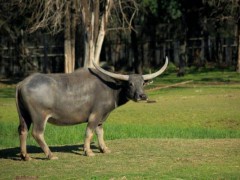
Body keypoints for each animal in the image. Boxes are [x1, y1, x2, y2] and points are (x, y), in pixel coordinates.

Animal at [15, 57, 168, 160]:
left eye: (142, 83)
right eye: (130, 83)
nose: (142, 96)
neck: (111, 88)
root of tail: (22, 83)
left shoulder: (102, 117)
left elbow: (100, 132)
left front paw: (104, 149)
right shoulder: (95, 115)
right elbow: (89, 132)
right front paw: (88, 151)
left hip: (24, 116)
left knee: (22, 131)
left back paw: (25, 156)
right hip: (39, 117)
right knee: (37, 133)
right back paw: (50, 155)